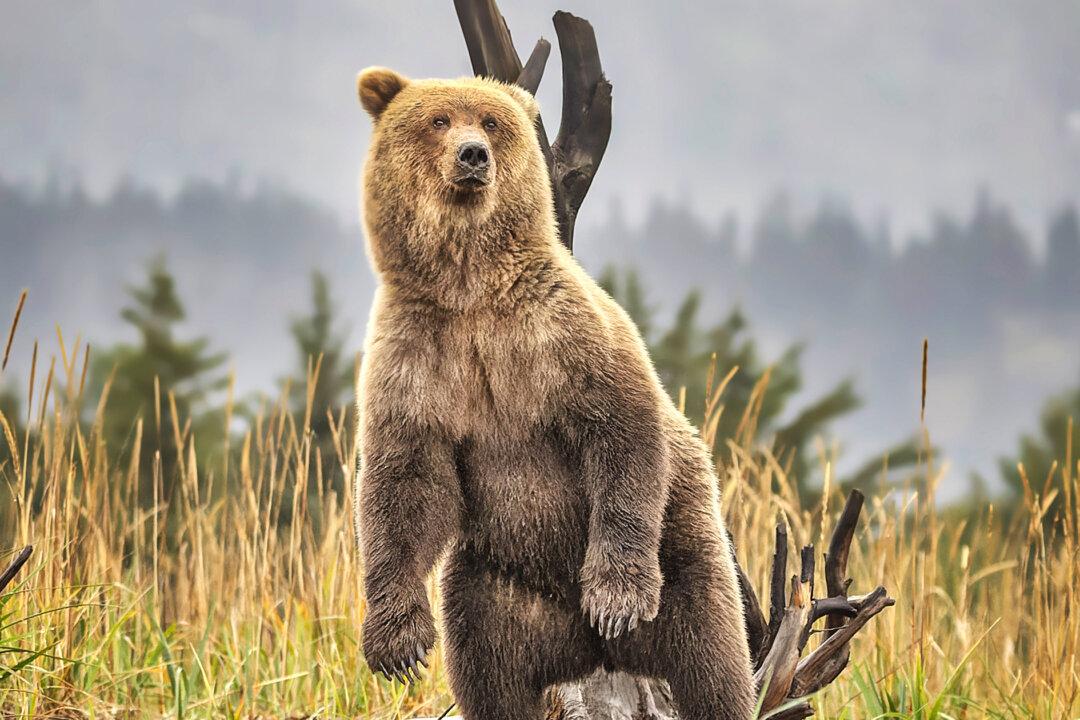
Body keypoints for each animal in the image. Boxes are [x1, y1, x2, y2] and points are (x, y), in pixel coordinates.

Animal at [352, 66, 755, 720]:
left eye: (491, 121)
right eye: (439, 119)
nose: (473, 155)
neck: (468, 288)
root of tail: (593, 657)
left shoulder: (561, 332)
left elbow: (620, 429)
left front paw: (615, 598)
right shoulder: (416, 356)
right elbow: (404, 482)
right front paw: (397, 643)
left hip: (685, 562)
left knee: (711, 664)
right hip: (496, 593)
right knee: (491, 679)